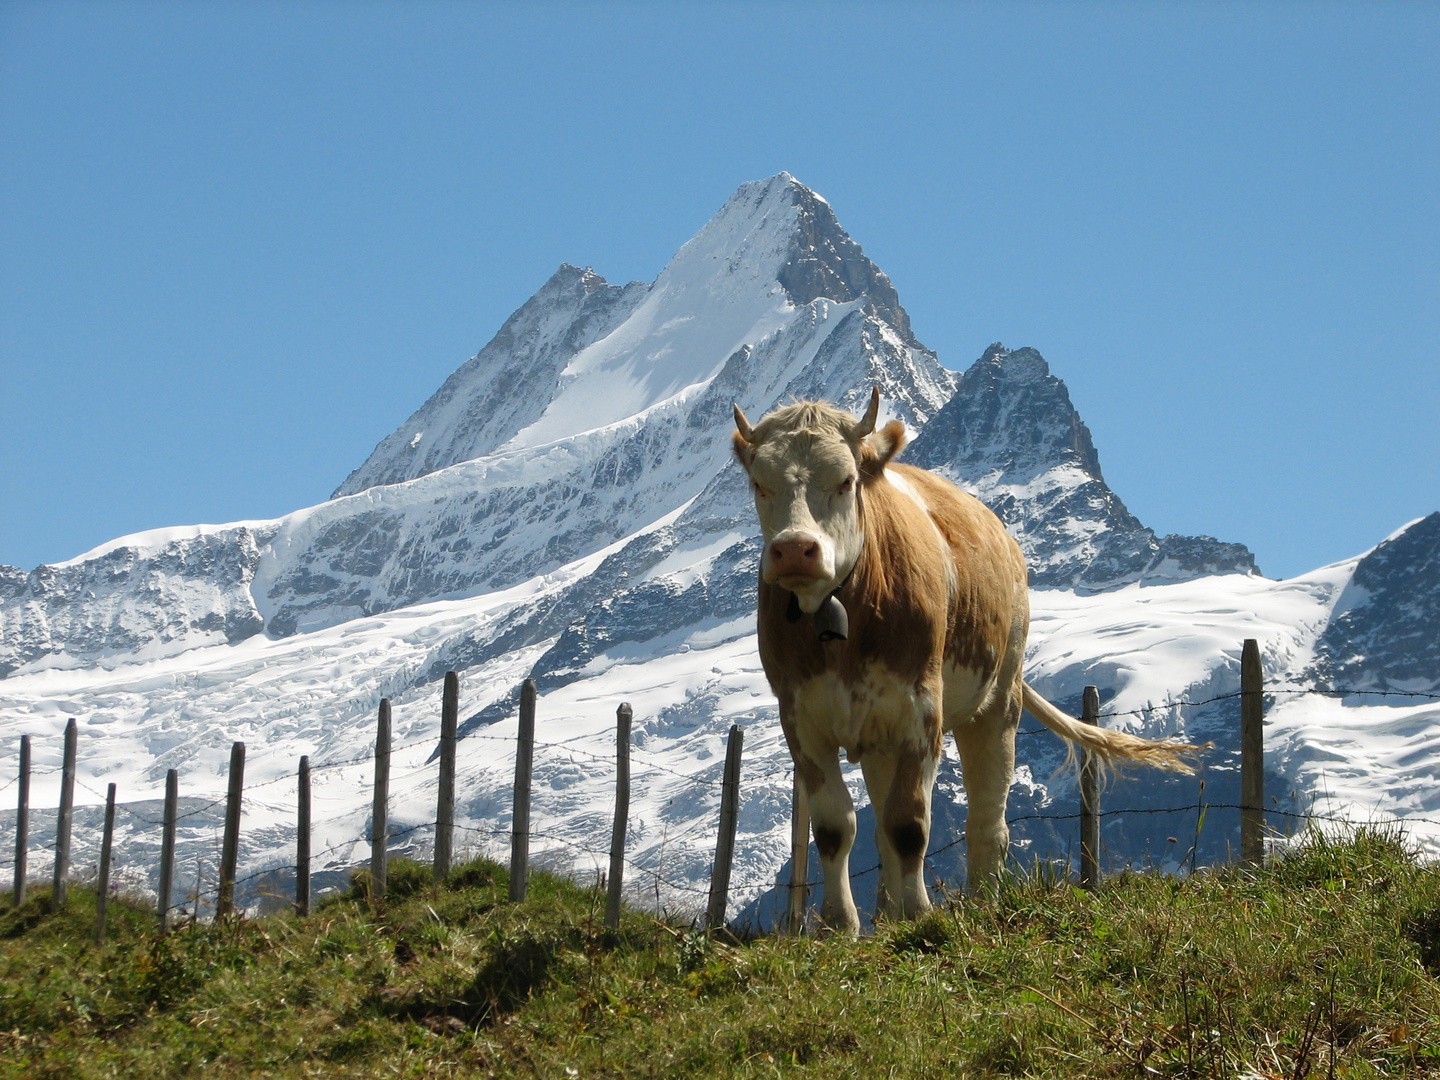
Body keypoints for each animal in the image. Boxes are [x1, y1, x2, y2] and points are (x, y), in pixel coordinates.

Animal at [737, 391, 1198, 938]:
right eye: (760, 483)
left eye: (846, 480)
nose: (794, 550)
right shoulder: (802, 720)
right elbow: (835, 828)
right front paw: (839, 926)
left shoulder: (921, 710)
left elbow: (910, 824)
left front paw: (919, 914)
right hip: (879, 739)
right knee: (881, 827)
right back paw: (886, 916)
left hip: (997, 704)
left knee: (986, 824)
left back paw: (982, 903)